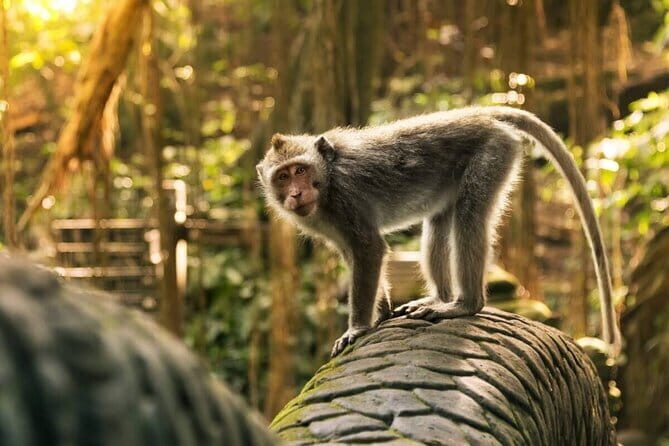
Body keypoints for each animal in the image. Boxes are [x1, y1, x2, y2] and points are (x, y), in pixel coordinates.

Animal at [256, 106, 622, 358]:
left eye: (301, 171)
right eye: (283, 177)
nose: (296, 194)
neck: (328, 179)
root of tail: (481, 114)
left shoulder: (346, 199)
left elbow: (369, 250)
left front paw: (358, 327)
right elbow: (354, 254)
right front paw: (383, 311)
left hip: (493, 153)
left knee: (469, 218)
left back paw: (465, 304)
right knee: (438, 222)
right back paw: (440, 298)